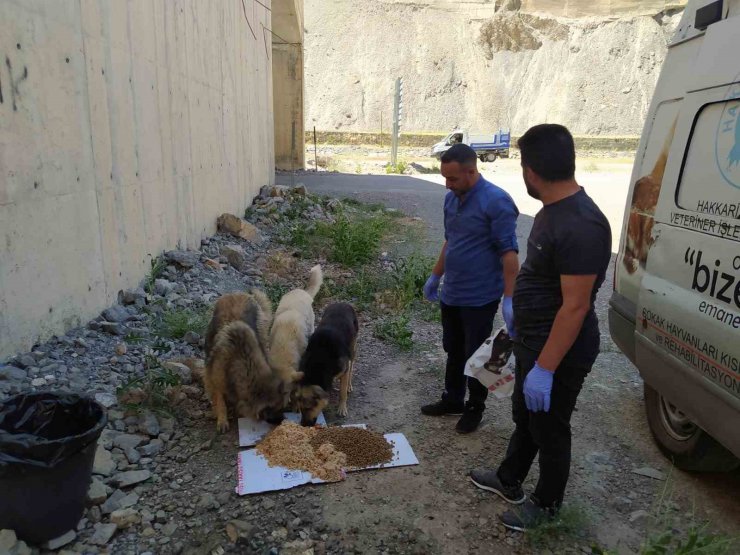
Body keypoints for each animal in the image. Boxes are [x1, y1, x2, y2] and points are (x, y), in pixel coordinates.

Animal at [202, 292, 294, 434]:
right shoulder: (214, 377)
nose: (283, 422)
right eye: (274, 411)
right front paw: (222, 419)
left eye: (282, 408)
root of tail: (236, 293)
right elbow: (219, 398)